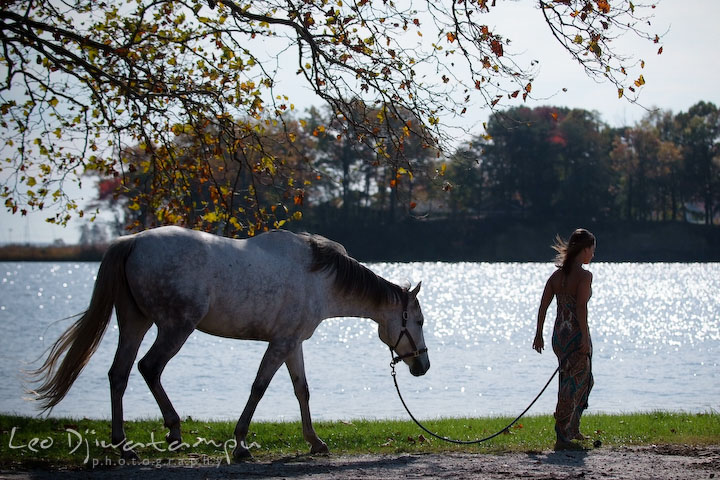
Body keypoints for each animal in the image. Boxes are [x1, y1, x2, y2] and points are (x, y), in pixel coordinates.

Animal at [31, 227, 430, 460]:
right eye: (420, 321)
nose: (422, 365)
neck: (321, 278)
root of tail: (131, 243)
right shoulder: (280, 343)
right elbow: (259, 388)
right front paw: (240, 444)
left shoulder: (292, 343)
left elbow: (301, 390)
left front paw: (315, 442)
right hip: (175, 327)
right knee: (149, 368)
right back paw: (173, 431)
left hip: (135, 323)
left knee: (120, 374)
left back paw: (123, 444)